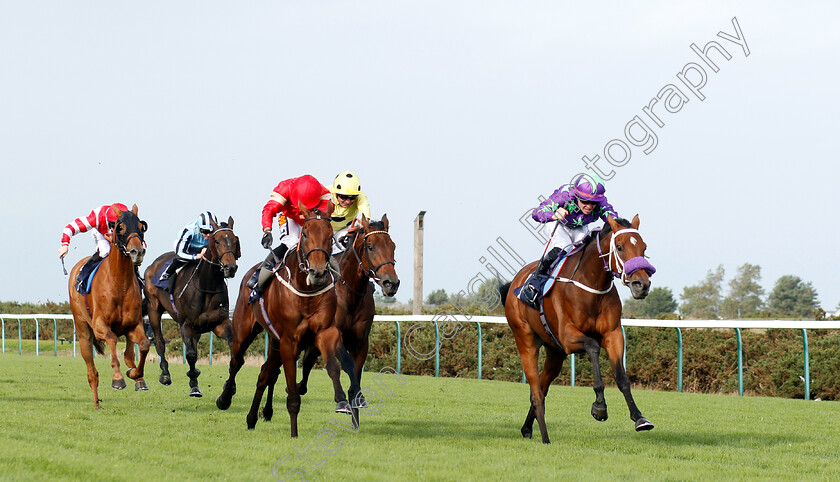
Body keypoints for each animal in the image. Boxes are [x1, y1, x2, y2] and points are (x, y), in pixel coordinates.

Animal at [68, 205, 150, 408]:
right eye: (120, 227)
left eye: (141, 226)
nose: (137, 252)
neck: (119, 283)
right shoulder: (99, 326)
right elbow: (112, 339)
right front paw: (118, 378)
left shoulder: (133, 324)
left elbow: (144, 344)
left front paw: (135, 374)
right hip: (83, 330)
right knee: (92, 372)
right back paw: (96, 403)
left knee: (129, 354)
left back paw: (136, 377)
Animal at [144, 217, 241, 398]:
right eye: (217, 241)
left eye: (235, 240)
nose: (230, 267)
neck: (207, 285)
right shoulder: (186, 324)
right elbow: (190, 354)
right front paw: (194, 386)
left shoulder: (219, 323)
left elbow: (233, 349)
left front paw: (230, 386)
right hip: (154, 309)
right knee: (160, 342)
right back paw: (165, 374)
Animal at [296, 215, 400, 426]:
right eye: (370, 246)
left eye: (392, 246)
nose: (391, 283)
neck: (351, 293)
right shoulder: (335, 336)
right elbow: (346, 365)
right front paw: (343, 402)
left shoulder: (361, 341)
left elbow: (356, 375)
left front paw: (356, 407)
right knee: (309, 359)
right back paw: (299, 387)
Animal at [498, 216, 656, 444]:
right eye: (619, 247)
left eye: (644, 248)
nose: (641, 284)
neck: (592, 287)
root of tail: (514, 282)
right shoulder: (568, 337)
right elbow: (593, 347)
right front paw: (599, 407)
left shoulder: (613, 334)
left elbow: (622, 377)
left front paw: (639, 418)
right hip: (525, 340)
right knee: (536, 392)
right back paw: (545, 438)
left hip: (555, 352)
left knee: (542, 388)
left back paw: (527, 429)